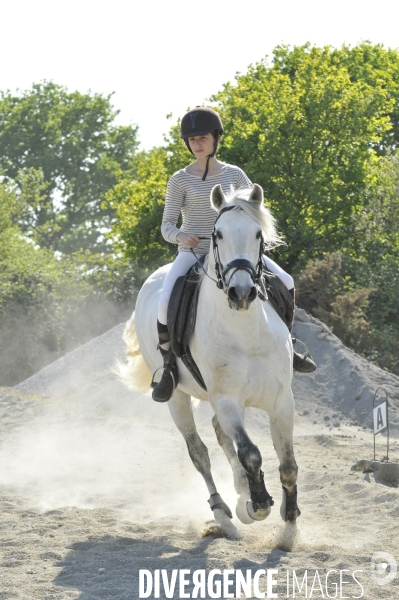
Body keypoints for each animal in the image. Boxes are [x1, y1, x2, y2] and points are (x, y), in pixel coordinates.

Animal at [120, 185, 302, 536]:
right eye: (217, 234)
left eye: (258, 234)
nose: (241, 293)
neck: (247, 334)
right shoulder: (228, 400)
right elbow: (251, 454)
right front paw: (257, 505)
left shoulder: (281, 401)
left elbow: (287, 464)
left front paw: (289, 523)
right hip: (177, 398)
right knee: (199, 452)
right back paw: (223, 510)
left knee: (220, 435)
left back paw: (241, 491)